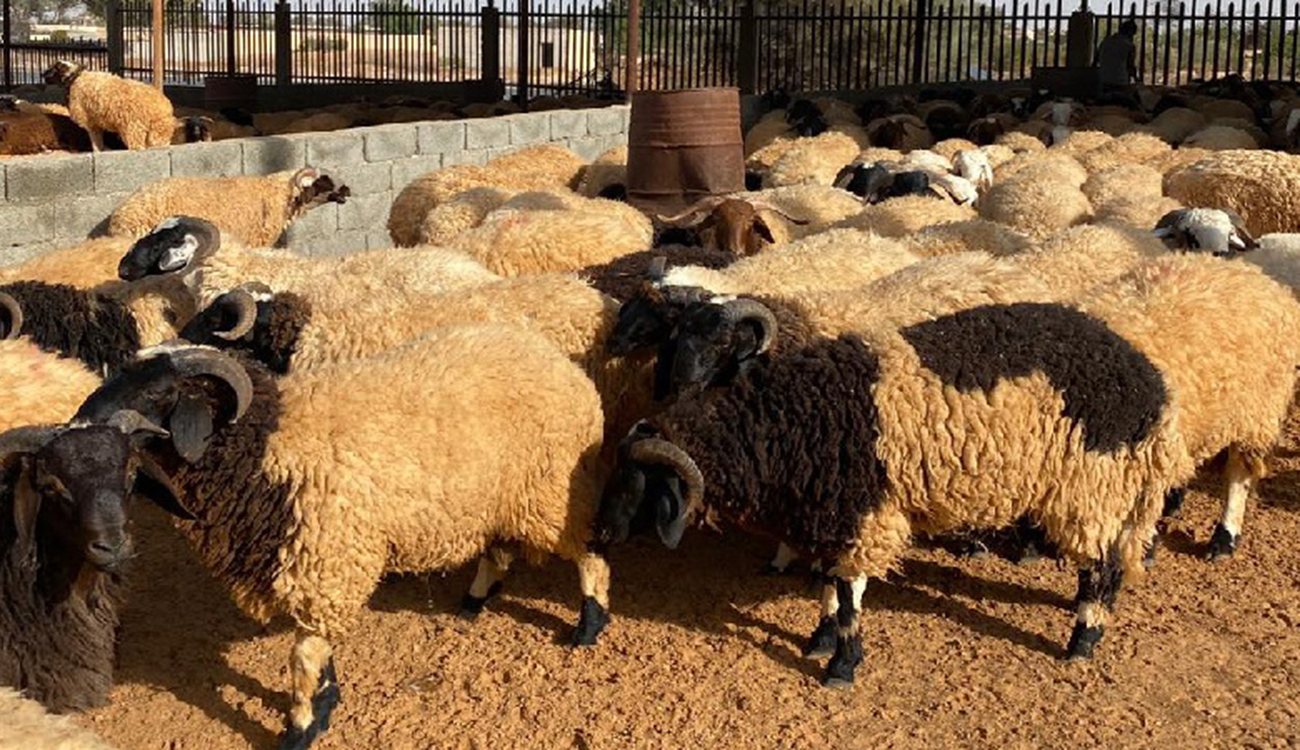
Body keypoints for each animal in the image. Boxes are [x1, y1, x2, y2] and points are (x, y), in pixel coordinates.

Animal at [40, 61, 173, 150]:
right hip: (157, 134)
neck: (74, 79)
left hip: (134, 130)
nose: (43, 75)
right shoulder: (96, 123)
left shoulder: (91, 123)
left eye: (53, 69)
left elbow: (96, 145)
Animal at [69, 337, 609, 748]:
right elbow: (317, 651)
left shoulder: (326, 561)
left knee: (590, 551)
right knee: (499, 549)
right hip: (497, 497)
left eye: (160, 391)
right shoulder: (318, 569)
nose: (79, 423)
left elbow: (302, 658)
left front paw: (303, 726)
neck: (271, 445)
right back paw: (473, 602)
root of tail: (558, 361)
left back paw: (588, 625)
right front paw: (328, 701)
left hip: (552, 490)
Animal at [598, 299, 1188, 686]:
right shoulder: (833, 514)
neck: (786, 418)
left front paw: (842, 664)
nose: (602, 531)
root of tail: (1150, 383)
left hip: (1088, 484)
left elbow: (849, 593)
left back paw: (1082, 640)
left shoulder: (865, 514)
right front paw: (820, 639)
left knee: (1100, 564)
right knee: (1109, 560)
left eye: (637, 484)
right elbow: (829, 586)